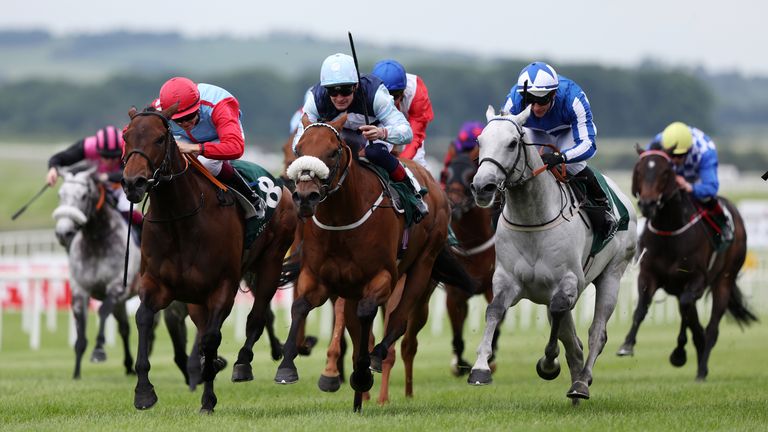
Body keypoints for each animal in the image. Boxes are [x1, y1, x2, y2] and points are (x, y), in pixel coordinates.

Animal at [121, 106, 296, 414]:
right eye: (126, 137)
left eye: (159, 139)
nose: (133, 183)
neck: (179, 219)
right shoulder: (157, 284)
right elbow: (144, 318)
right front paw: (143, 392)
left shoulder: (222, 287)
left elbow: (211, 338)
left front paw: (209, 390)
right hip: (196, 298)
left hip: (271, 262)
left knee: (257, 316)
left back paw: (242, 364)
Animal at [276, 115, 474, 412]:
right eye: (298, 150)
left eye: (332, 152)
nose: (305, 196)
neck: (341, 220)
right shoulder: (319, 279)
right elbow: (300, 307)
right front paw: (287, 367)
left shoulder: (382, 278)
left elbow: (368, 315)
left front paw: (361, 373)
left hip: (422, 265)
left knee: (399, 321)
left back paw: (377, 361)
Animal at [440, 149, 500, 374]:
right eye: (445, 174)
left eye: (469, 177)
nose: (453, 206)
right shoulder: (455, 293)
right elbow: (457, 333)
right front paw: (460, 364)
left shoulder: (493, 288)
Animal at [468, 105, 636, 402]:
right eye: (480, 141)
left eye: (512, 143)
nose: (481, 187)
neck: (532, 220)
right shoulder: (508, 280)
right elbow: (495, 310)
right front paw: (480, 368)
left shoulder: (568, 282)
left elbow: (560, 313)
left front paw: (548, 363)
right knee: (573, 339)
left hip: (612, 275)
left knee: (596, 332)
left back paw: (581, 383)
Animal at [616, 150, 760, 380]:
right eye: (638, 170)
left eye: (665, 172)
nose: (647, 204)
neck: (670, 231)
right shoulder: (648, 275)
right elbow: (642, 308)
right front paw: (627, 345)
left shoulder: (695, 279)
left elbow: (686, 309)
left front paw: (679, 353)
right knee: (694, 320)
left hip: (724, 280)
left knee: (711, 326)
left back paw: (701, 369)